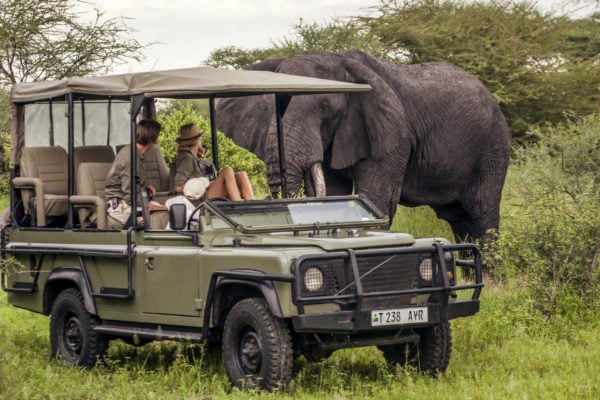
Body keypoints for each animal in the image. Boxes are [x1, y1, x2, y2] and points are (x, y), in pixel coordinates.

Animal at [216, 49, 510, 241]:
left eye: (325, 107)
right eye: (276, 106)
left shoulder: (392, 134)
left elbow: (375, 197)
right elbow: (334, 193)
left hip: (493, 145)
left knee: (481, 213)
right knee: (459, 219)